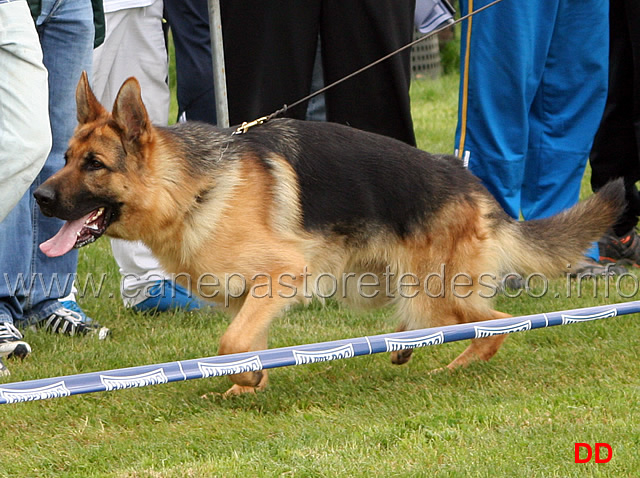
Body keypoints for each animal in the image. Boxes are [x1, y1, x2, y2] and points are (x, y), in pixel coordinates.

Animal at [33, 73, 624, 394]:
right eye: (65, 159)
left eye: (94, 165)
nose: (39, 198)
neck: (193, 187)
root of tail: (472, 184)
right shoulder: (249, 297)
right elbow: (245, 343)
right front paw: (248, 384)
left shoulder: (281, 275)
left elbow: (231, 343)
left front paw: (248, 382)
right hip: (405, 288)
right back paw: (407, 348)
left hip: (434, 293)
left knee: (497, 324)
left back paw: (451, 365)